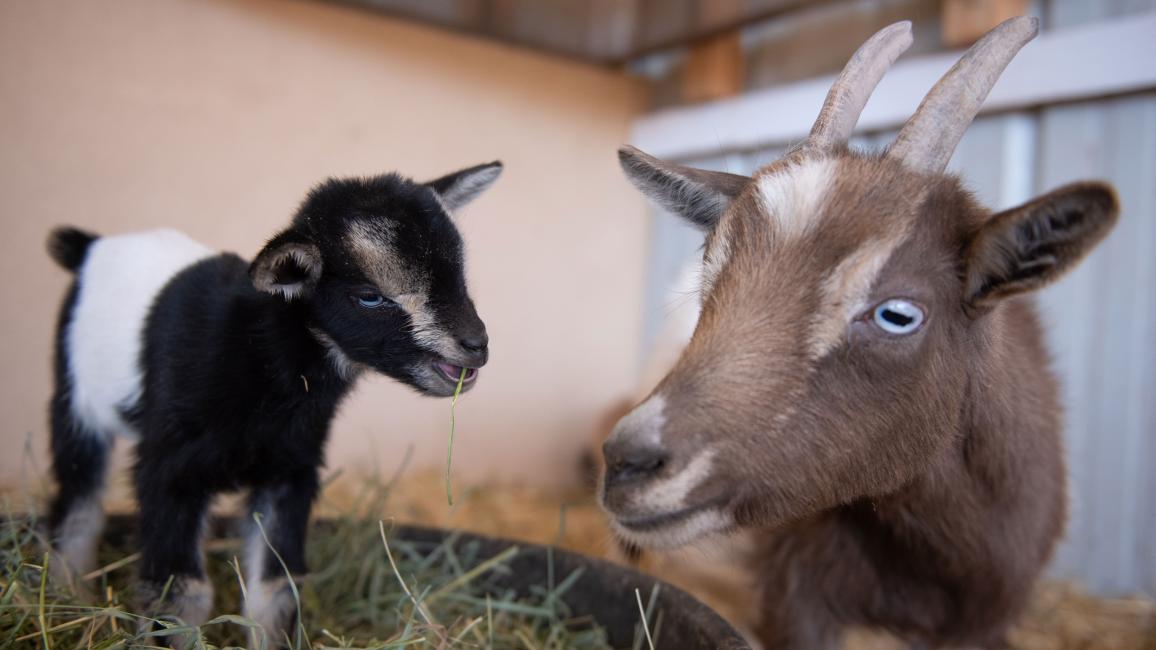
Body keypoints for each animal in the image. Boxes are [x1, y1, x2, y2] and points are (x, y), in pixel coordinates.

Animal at [45, 162, 501, 644]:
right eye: (370, 295)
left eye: (460, 277)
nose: (476, 345)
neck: (257, 353)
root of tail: (93, 245)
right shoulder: (169, 471)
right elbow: (179, 592)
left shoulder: (289, 471)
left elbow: (275, 589)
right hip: (74, 397)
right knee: (78, 500)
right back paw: (66, 593)